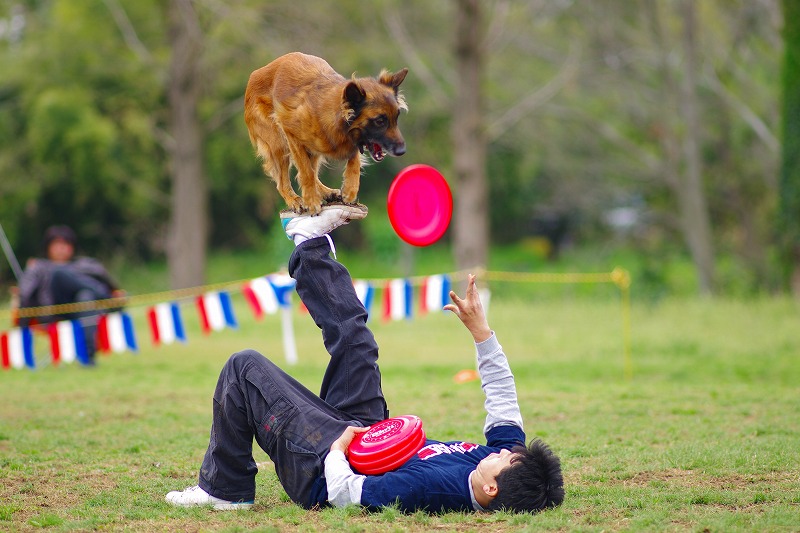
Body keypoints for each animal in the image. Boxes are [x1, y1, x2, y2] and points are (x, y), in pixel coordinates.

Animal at [244, 52, 410, 214]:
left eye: (396, 117)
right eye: (379, 121)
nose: (402, 151)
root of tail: (255, 74)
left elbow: (353, 160)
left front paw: (350, 188)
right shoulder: (291, 134)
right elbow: (306, 172)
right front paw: (311, 201)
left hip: (313, 148)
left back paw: (325, 192)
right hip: (279, 144)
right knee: (284, 180)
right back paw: (294, 200)